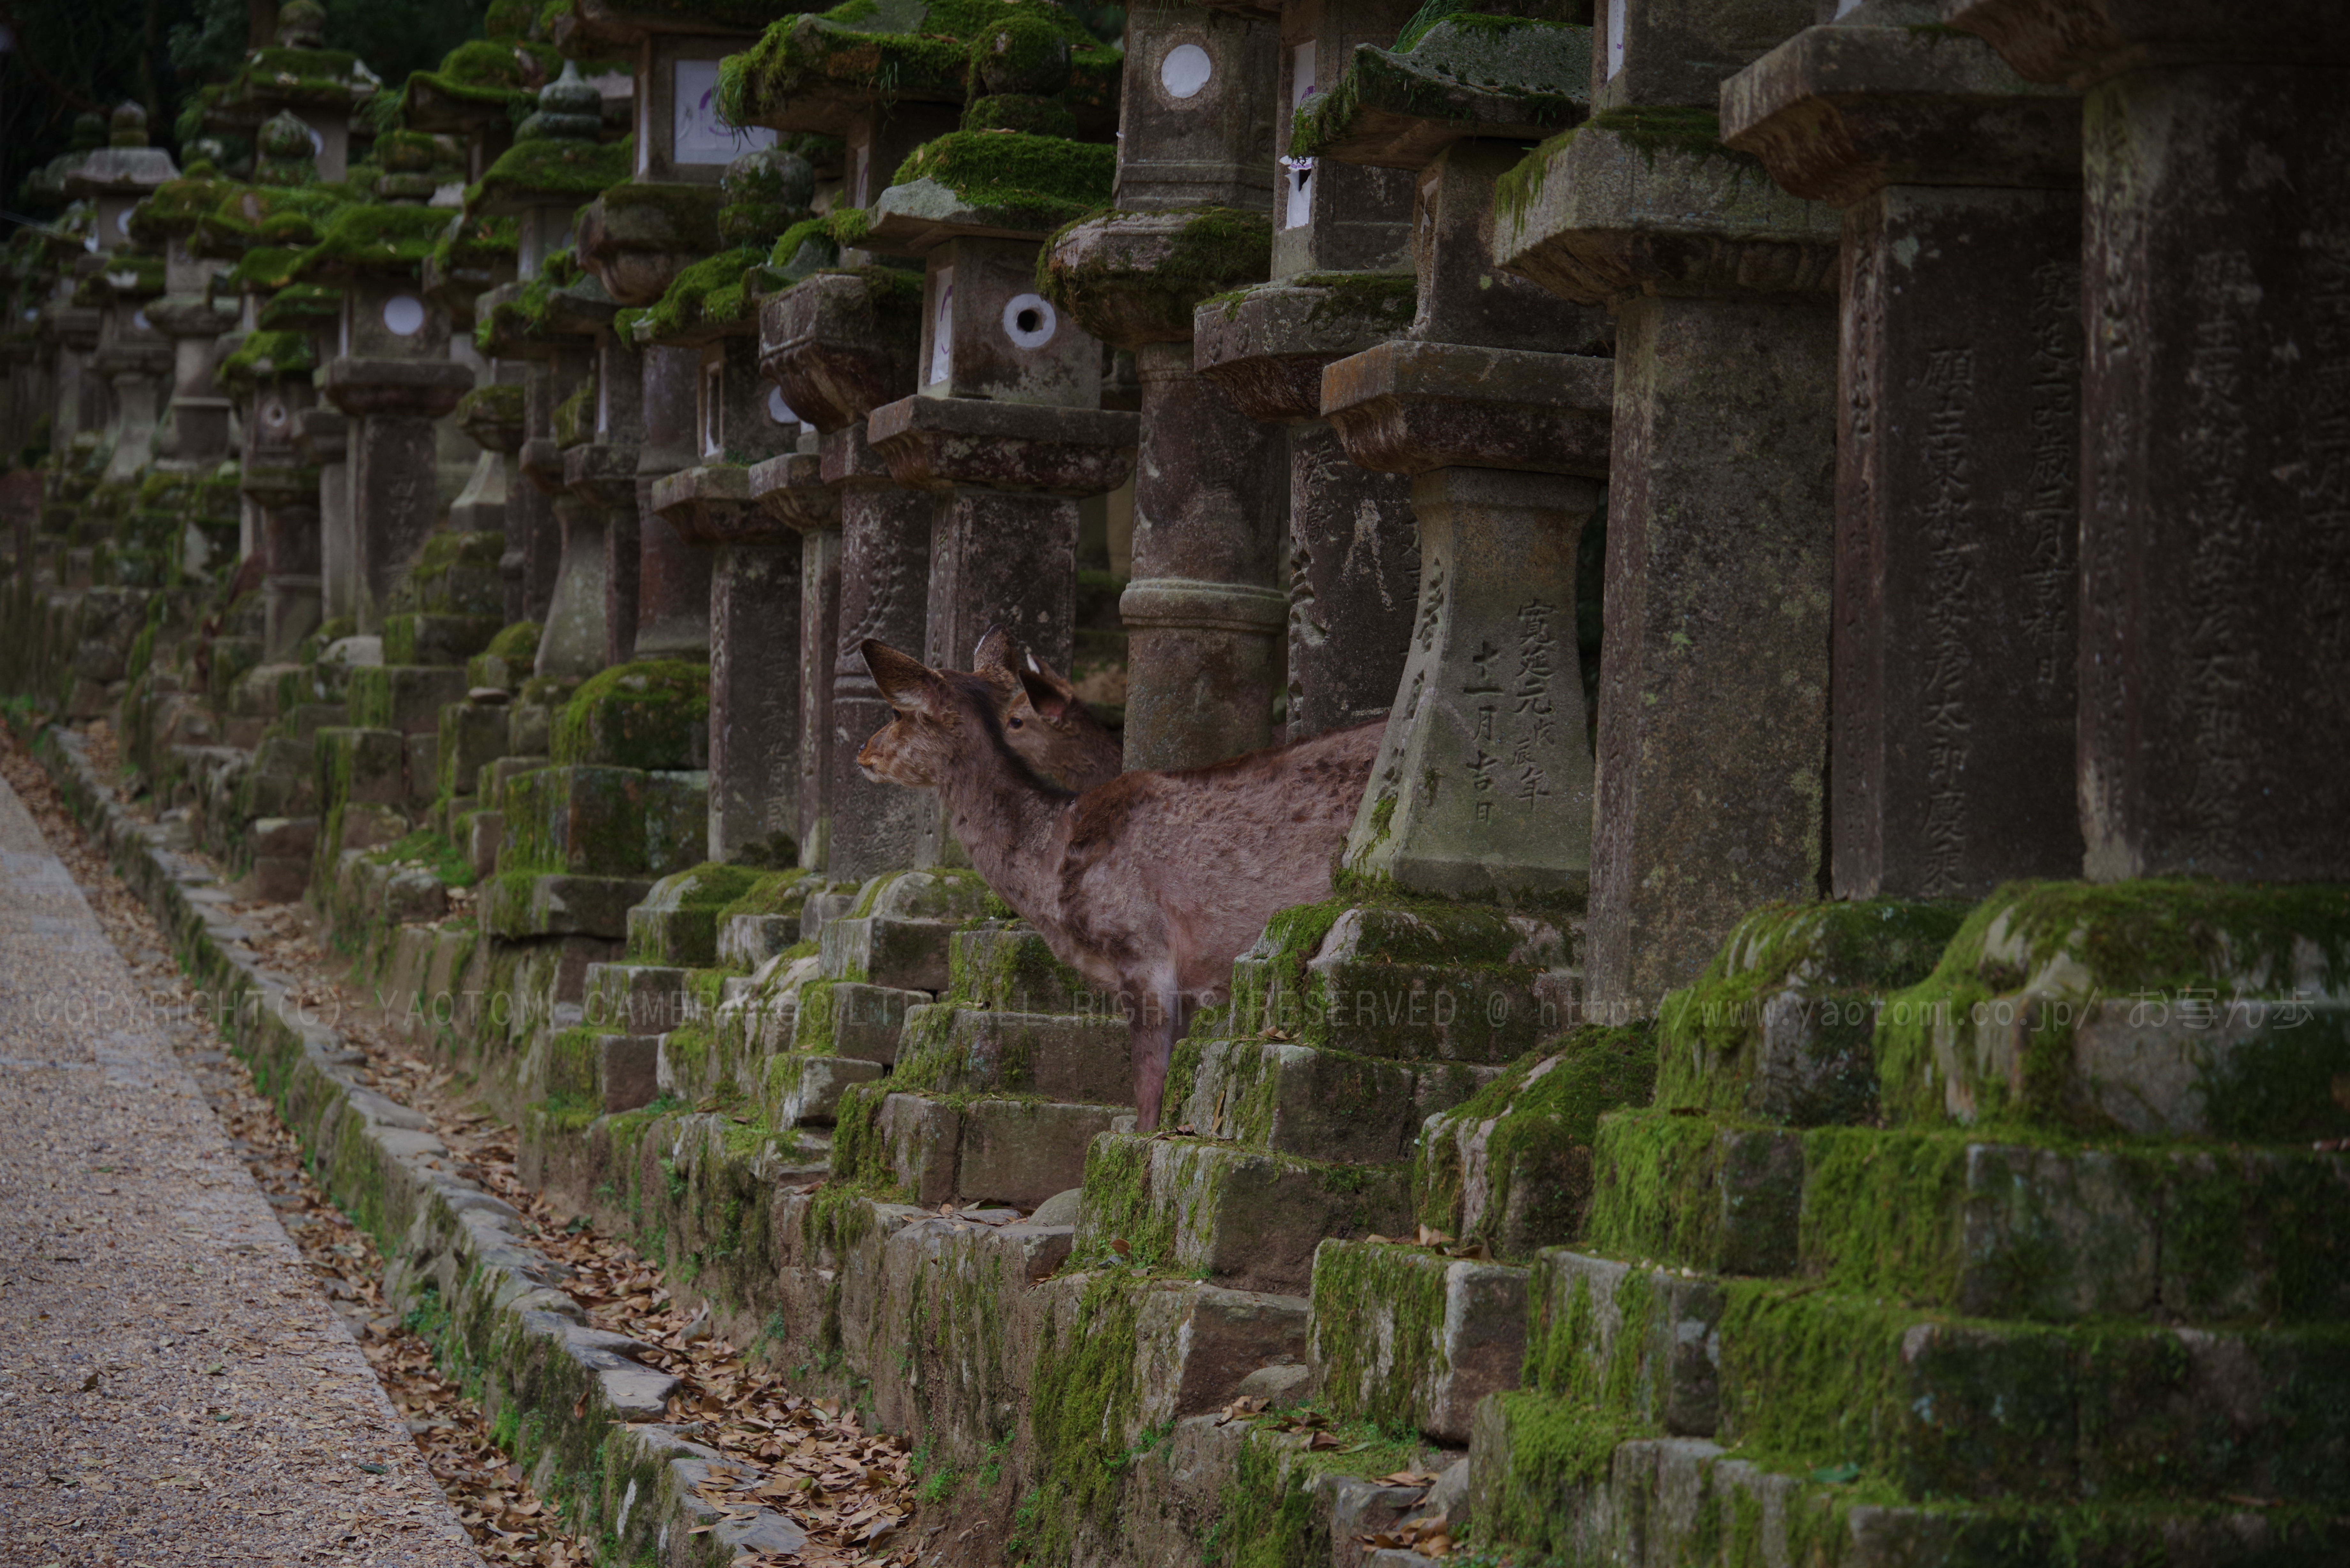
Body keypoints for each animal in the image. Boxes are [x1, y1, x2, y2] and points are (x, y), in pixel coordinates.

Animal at [860, 639, 1372, 1128]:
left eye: (896, 712)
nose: (864, 753)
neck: (1051, 871)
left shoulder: (1141, 946)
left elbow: (1148, 1095)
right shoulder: (1186, 985)